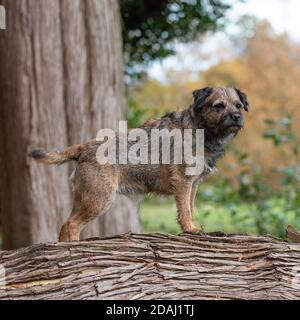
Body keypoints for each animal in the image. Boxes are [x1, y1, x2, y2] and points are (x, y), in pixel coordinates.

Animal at [28, 86, 248, 241]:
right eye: (219, 106)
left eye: (238, 105)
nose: (237, 117)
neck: (200, 129)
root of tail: (84, 147)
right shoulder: (184, 182)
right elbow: (185, 210)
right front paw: (190, 229)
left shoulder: (193, 185)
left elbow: (190, 208)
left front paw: (192, 229)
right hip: (99, 198)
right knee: (71, 224)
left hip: (84, 198)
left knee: (65, 224)